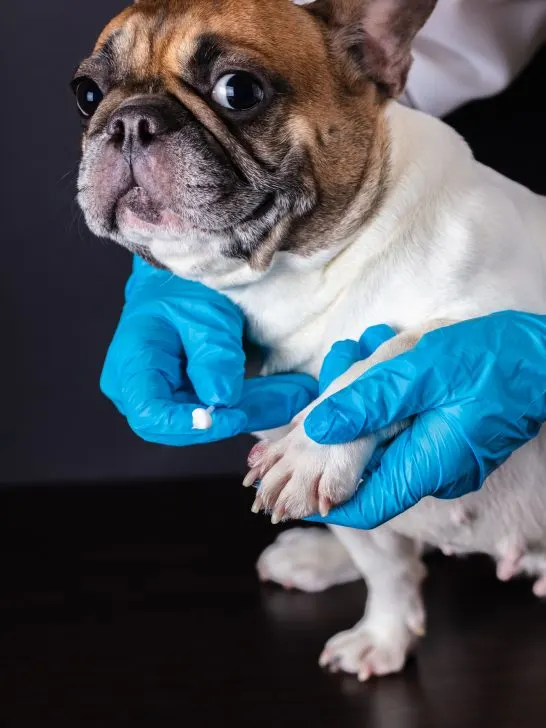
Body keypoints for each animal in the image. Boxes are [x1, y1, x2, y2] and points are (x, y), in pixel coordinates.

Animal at [74, 1, 544, 684]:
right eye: (85, 94)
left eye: (239, 90)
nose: (128, 119)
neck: (303, 275)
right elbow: (385, 568)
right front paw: (384, 635)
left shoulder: (507, 324)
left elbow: (394, 355)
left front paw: (312, 447)